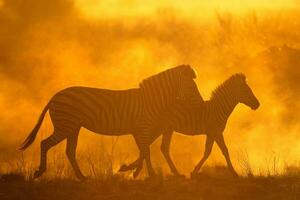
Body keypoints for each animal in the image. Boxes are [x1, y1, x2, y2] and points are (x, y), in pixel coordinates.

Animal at [17, 64, 203, 180]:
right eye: (192, 88)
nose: (202, 104)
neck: (151, 100)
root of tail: (54, 97)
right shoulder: (142, 128)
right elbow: (146, 151)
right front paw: (150, 175)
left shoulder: (138, 130)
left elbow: (144, 151)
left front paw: (134, 171)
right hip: (65, 126)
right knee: (45, 143)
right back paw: (39, 172)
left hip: (73, 128)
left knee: (69, 151)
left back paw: (82, 177)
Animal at [120, 74, 258, 177]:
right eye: (247, 90)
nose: (258, 104)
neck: (218, 109)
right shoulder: (216, 131)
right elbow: (224, 150)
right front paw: (234, 173)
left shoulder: (211, 133)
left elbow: (207, 152)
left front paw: (194, 171)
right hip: (160, 127)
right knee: (148, 144)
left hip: (164, 128)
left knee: (150, 145)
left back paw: (131, 168)